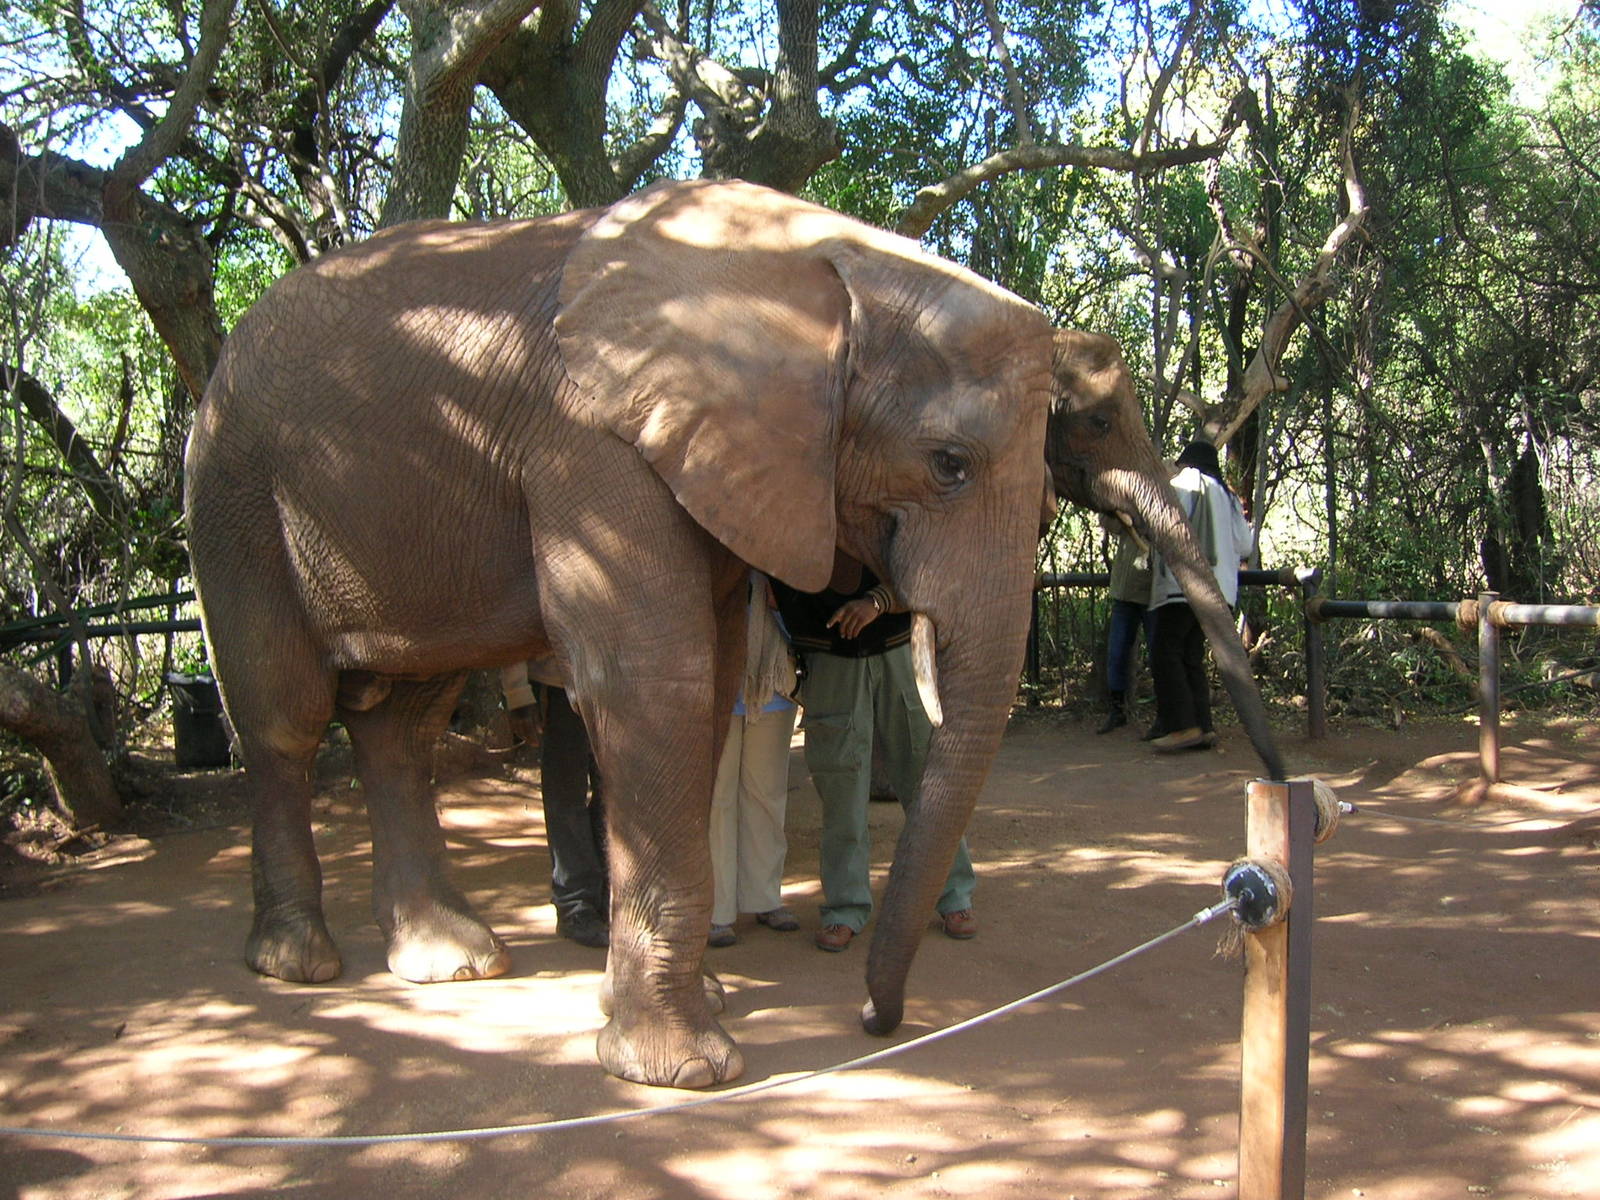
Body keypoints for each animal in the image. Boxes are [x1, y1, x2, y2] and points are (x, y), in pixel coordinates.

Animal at [183, 178, 1055, 1089]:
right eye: (949, 463)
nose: (873, 1021)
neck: (824, 261)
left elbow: (711, 684)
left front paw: (683, 1005)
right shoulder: (589, 439)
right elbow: (655, 683)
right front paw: (683, 1069)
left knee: (404, 725)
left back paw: (451, 962)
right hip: (235, 495)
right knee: (284, 716)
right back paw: (298, 962)